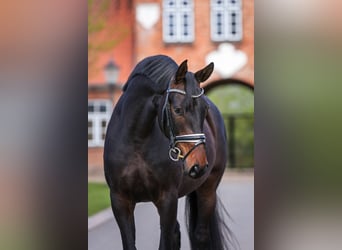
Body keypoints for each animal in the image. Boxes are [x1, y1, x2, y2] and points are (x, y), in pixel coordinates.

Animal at [103, 55, 232, 249]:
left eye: (205, 110)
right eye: (178, 110)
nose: (199, 165)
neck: (137, 139)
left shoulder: (167, 199)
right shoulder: (120, 200)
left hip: (208, 189)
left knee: (200, 235)